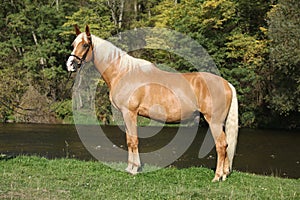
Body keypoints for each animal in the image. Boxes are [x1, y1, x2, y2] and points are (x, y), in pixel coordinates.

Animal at [67, 25, 238, 181]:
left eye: (85, 45)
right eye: (73, 44)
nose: (70, 64)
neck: (123, 73)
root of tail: (227, 84)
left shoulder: (130, 113)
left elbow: (133, 141)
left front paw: (134, 169)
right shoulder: (126, 115)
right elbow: (129, 140)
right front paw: (129, 168)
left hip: (214, 122)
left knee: (221, 145)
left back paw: (217, 177)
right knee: (226, 145)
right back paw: (224, 175)